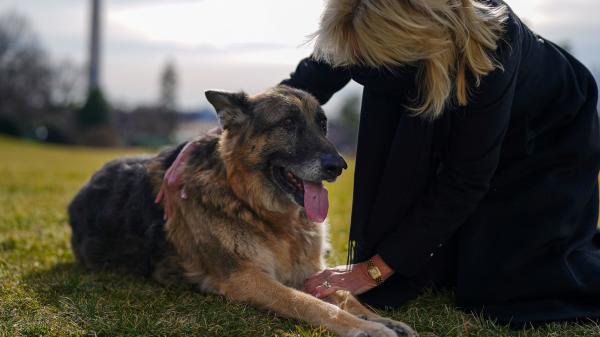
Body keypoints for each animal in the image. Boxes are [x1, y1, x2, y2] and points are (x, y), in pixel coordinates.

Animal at [68, 85, 418, 334]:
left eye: (322, 125)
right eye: (288, 123)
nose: (339, 166)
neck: (255, 206)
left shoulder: (311, 272)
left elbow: (346, 295)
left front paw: (381, 320)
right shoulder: (247, 278)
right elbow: (310, 304)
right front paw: (366, 329)